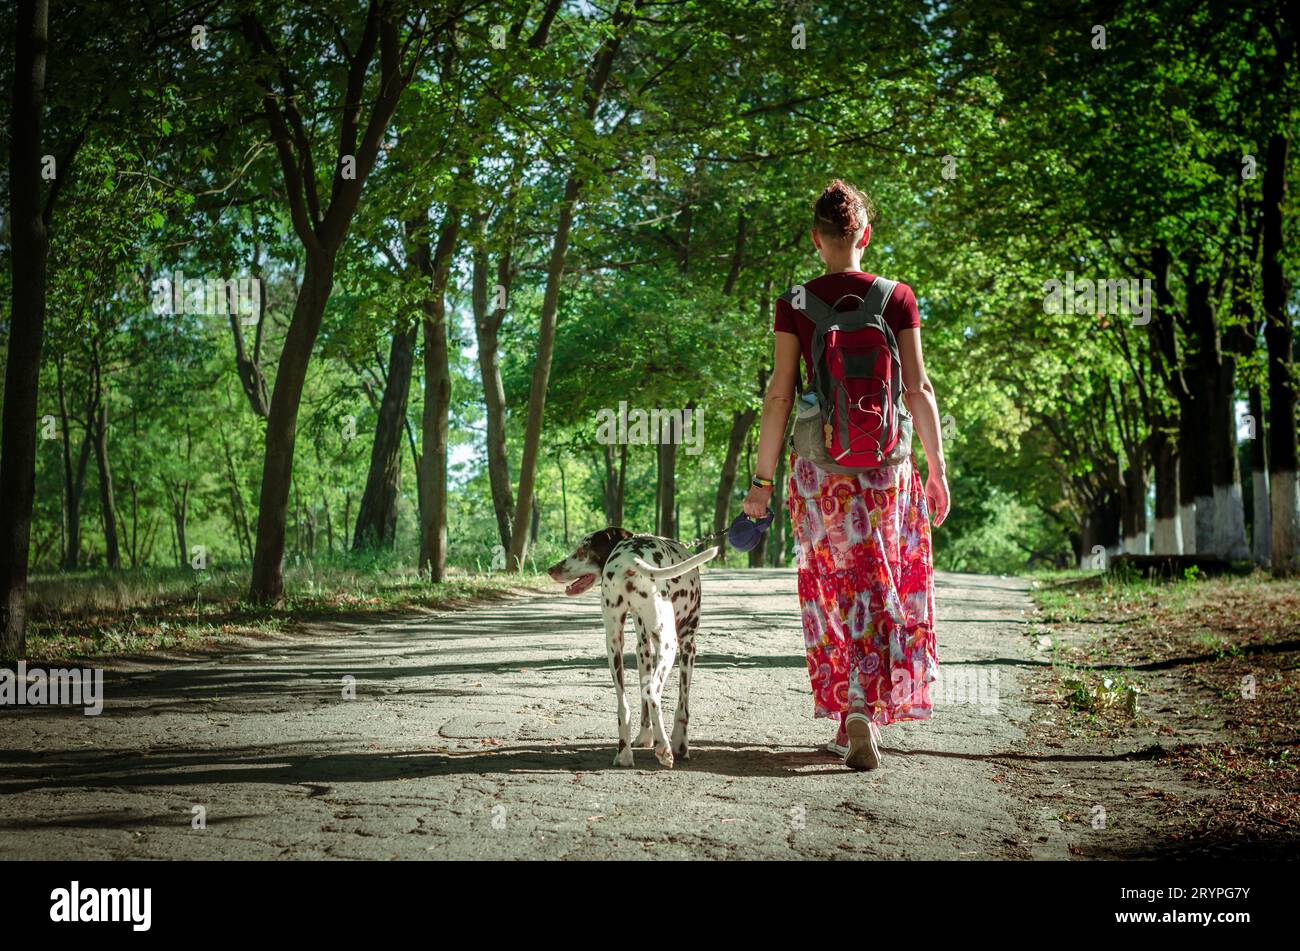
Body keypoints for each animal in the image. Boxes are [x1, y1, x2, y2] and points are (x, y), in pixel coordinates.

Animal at [543, 530, 717, 769]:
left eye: (583, 549)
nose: (550, 569)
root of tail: (629, 558)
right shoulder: (688, 644)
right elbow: (682, 706)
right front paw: (680, 744)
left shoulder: (642, 647)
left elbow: (643, 702)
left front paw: (644, 737)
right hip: (669, 644)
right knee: (653, 692)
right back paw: (664, 749)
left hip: (614, 645)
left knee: (624, 705)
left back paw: (624, 754)